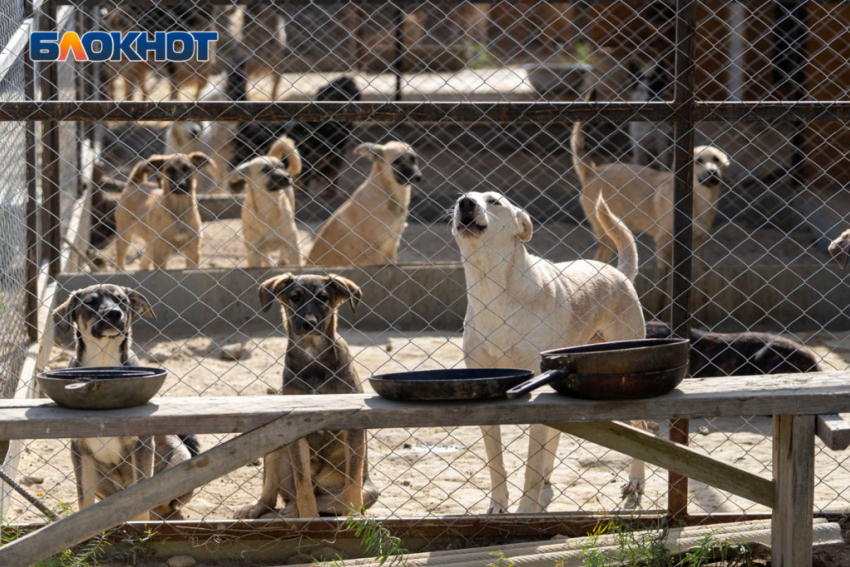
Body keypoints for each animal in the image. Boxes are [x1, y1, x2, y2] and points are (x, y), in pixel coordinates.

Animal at [53, 286, 200, 520]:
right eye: (91, 302)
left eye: (122, 301)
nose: (114, 313)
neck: (104, 363)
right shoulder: (80, 452)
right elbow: (84, 504)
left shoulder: (142, 445)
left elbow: (141, 502)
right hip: (101, 479)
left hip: (181, 459)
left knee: (164, 504)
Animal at [227, 135, 304, 268]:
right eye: (266, 170)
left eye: (282, 167)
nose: (287, 177)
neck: (269, 207)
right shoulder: (254, 252)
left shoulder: (294, 245)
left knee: (282, 252)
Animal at [232, 274, 378, 520]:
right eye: (294, 297)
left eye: (323, 297)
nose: (308, 324)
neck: (313, 357)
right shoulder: (294, 431)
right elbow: (304, 486)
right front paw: (308, 518)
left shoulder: (354, 429)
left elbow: (352, 484)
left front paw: (352, 518)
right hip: (275, 446)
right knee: (274, 497)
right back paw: (260, 508)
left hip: (368, 491)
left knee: (334, 499)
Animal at [568, 93, 728, 276]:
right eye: (698, 161)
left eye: (717, 159)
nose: (712, 172)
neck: (700, 199)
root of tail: (593, 171)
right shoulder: (663, 242)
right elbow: (665, 271)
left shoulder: (699, 242)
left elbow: (701, 267)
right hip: (607, 236)